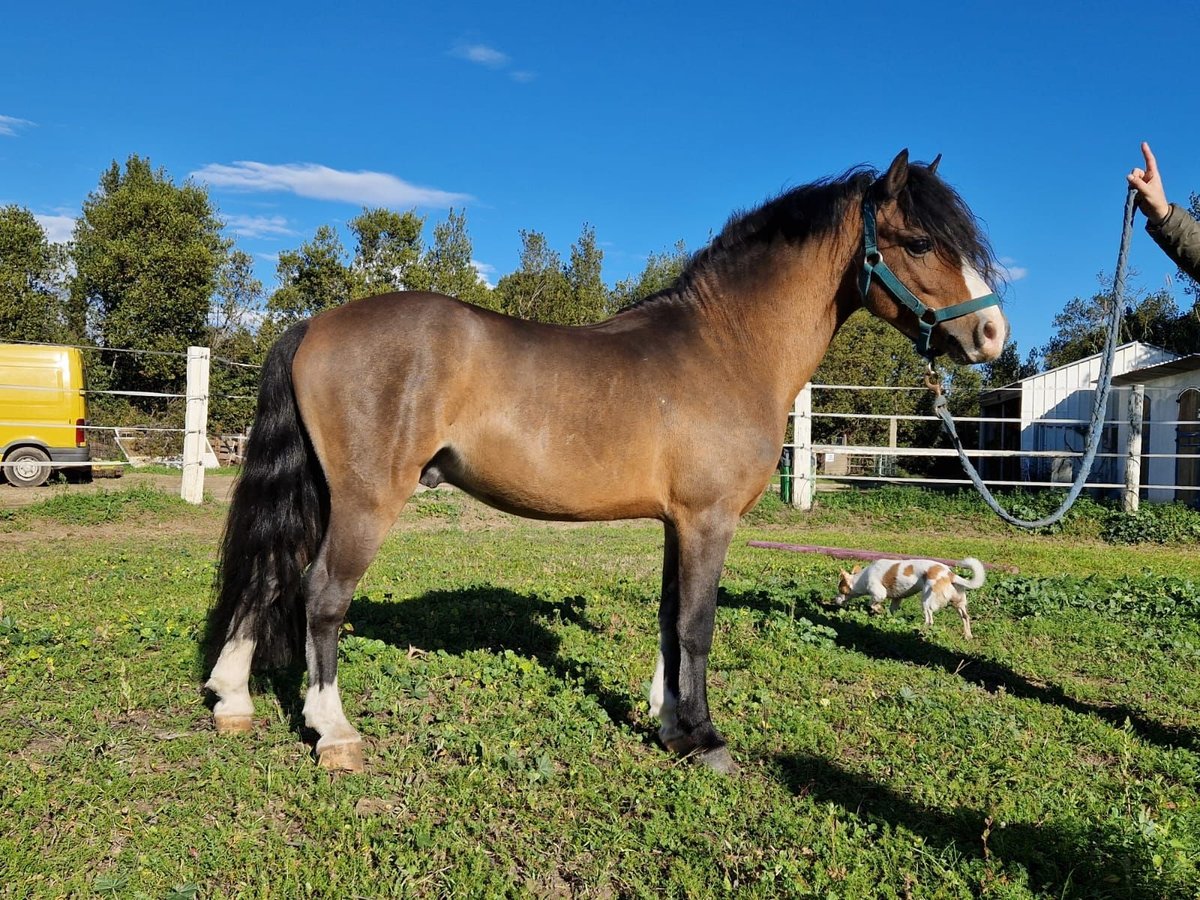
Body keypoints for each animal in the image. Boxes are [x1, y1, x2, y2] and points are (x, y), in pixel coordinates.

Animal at [835, 556, 984, 643]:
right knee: (965, 617)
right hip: (958, 602)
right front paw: (887, 618)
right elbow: (891, 611)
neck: (861, 578)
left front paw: (878, 610)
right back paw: (968, 635)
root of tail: (950, 575)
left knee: (929, 620)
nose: (834, 599)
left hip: (926, 601)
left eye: (840, 590)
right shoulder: (896, 599)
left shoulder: (879, 593)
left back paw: (918, 632)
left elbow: (872, 603)